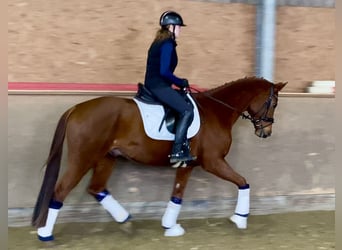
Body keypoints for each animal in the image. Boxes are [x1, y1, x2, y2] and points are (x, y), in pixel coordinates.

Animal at [31, 76, 286, 240]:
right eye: (273, 103)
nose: (266, 132)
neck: (216, 111)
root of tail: (76, 108)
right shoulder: (213, 162)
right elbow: (243, 182)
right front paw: (240, 219)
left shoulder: (187, 165)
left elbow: (177, 195)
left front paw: (170, 227)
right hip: (82, 158)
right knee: (61, 190)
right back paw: (45, 234)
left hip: (106, 158)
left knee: (96, 188)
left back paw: (126, 221)